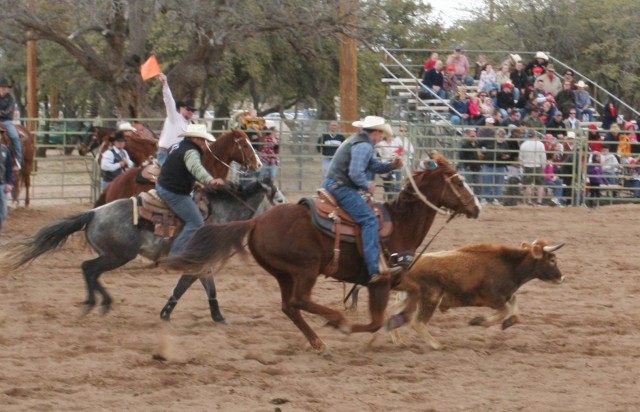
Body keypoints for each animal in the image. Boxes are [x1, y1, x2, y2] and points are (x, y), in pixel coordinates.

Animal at [7, 179, 284, 318]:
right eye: (279, 199)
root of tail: (93, 213)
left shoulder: (203, 263)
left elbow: (207, 288)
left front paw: (217, 316)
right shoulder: (199, 261)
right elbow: (185, 285)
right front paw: (166, 313)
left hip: (111, 255)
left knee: (92, 272)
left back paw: (101, 302)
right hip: (117, 255)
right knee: (88, 269)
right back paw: (95, 302)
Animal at [165, 154, 480, 350]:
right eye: (459, 181)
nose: (476, 207)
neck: (399, 224)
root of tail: (256, 221)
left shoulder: (398, 278)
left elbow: (413, 295)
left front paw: (400, 325)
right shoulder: (379, 282)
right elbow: (375, 322)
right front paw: (353, 327)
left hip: (284, 274)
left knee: (289, 306)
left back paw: (318, 342)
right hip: (306, 268)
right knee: (300, 301)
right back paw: (335, 320)